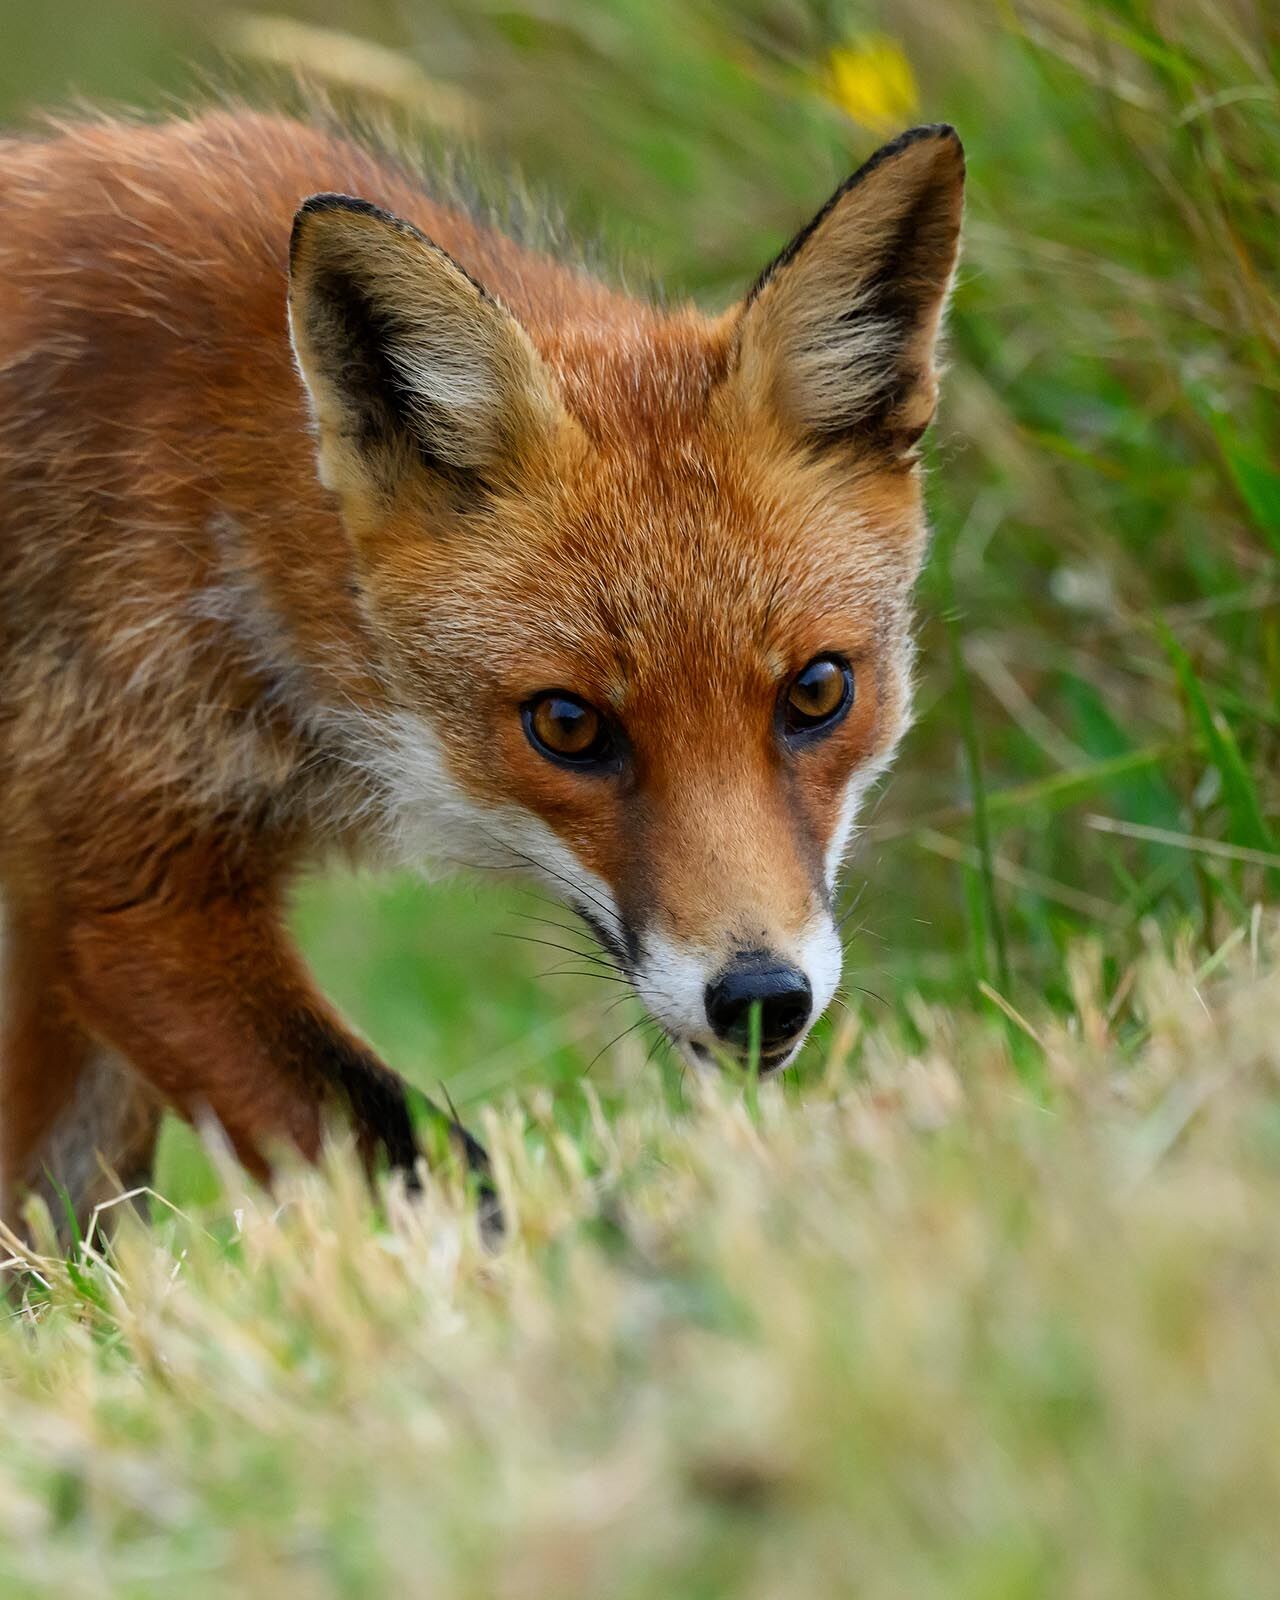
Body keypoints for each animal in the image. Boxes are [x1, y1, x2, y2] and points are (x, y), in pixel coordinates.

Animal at [0, 108, 963, 1225]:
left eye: (816, 691)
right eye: (567, 724)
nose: (761, 1000)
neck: (220, 492)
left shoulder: (71, 900)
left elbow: (54, 1203)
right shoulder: (125, 888)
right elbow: (417, 1153)